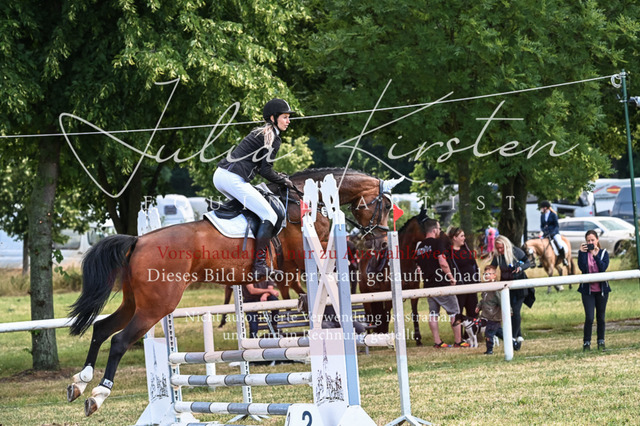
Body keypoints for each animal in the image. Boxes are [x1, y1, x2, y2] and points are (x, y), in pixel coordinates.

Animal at [66, 167, 398, 417]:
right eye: (384, 205)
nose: (381, 242)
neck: (307, 200)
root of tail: (138, 241)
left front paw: (309, 302)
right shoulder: (299, 256)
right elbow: (307, 279)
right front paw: (312, 303)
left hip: (134, 302)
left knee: (101, 328)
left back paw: (79, 383)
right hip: (156, 307)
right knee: (119, 341)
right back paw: (97, 395)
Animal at [358, 209, 428, 345]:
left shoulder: (414, 292)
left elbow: (414, 313)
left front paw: (418, 339)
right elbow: (387, 315)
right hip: (366, 295)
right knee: (369, 316)